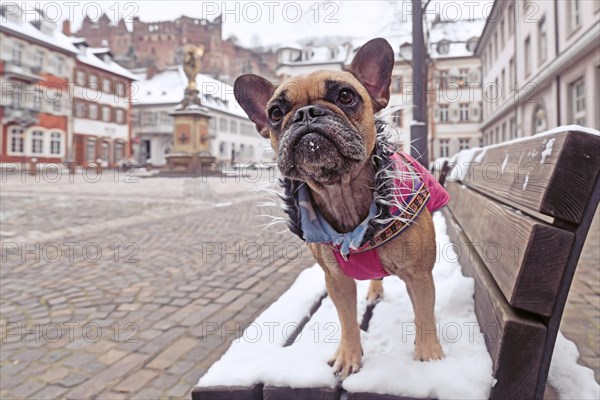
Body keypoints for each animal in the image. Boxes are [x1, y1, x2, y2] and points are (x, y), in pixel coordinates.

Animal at [233, 37, 446, 378]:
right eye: (275, 113)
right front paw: (349, 357)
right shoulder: (337, 281)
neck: (341, 192)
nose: (306, 113)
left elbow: (424, 317)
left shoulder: (419, 275)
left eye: (346, 96)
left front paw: (429, 356)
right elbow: (347, 321)